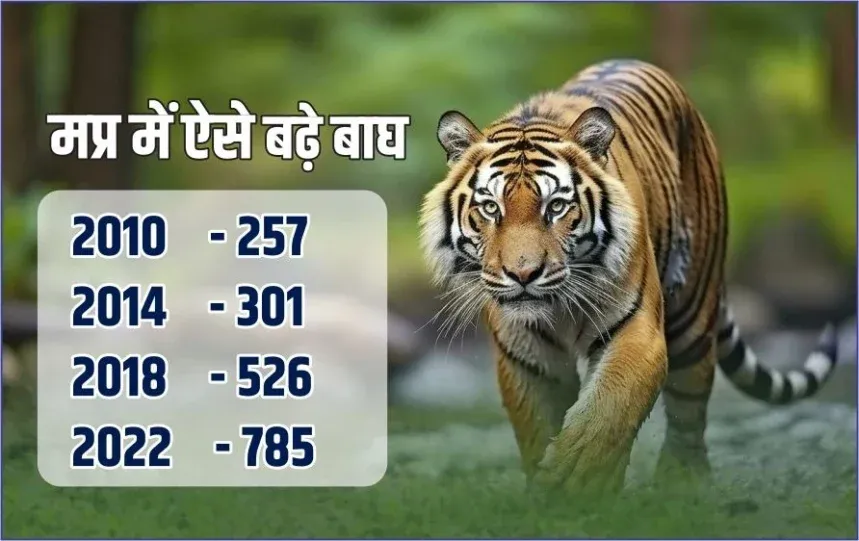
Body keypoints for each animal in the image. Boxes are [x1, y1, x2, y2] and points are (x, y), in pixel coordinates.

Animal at [418, 59, 839, 494]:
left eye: (556, 207)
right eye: (490, 208)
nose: (523, 273)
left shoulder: (638, 331)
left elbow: (609, 407)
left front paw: (578, 478)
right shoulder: (528, 356)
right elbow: (539, 427)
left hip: (692, 312)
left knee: (690, 405)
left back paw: (682, 481)